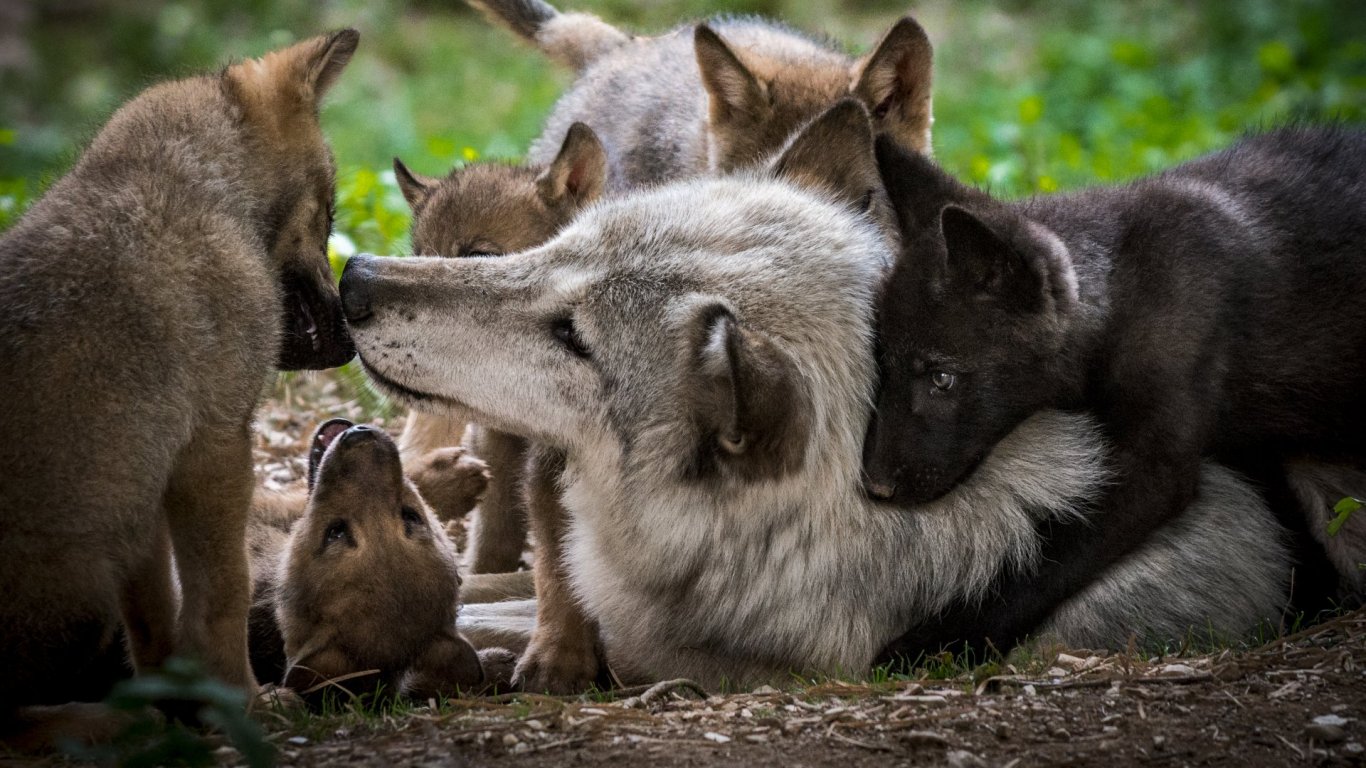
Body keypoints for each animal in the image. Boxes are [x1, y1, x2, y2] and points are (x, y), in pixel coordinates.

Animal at [0, 26, 357, 716]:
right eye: (327, 215)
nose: (353, 339)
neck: (192, 187)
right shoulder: (214, 449)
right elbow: (221, 596)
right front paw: (244, 703)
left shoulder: (147, 485)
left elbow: (158, 619)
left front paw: (176, 700)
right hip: (86, 592)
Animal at [863, 125, 1366, 658]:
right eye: (884, 368)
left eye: (941, 378)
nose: (875, 487)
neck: (1121, 300)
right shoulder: (1246, 447)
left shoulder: (1152, 471)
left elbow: (1037, 573)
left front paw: (927, 646)